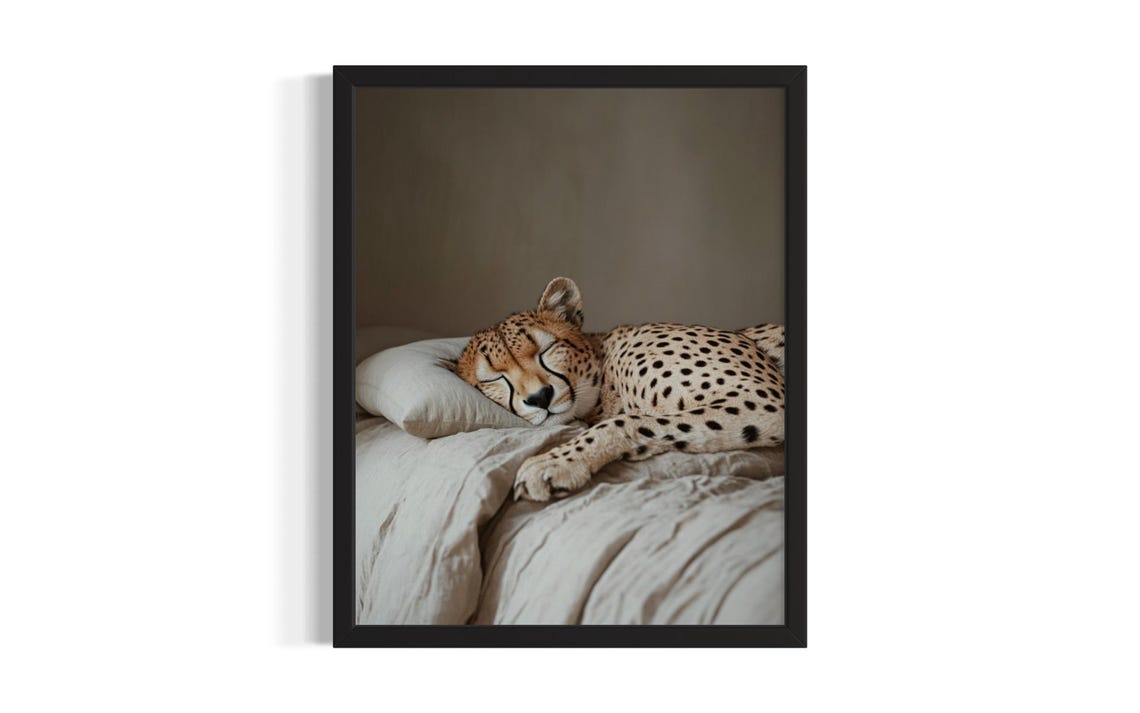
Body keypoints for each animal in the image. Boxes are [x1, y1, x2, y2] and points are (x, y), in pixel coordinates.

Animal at [453, 277, 785, 502]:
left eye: (546, 349)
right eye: (494, 378)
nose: (540, 397)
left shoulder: (764, 400)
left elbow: (627, 422)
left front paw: (554, 462)